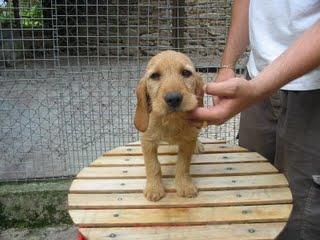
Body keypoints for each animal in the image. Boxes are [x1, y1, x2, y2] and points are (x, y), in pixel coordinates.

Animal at [133, 50, 204, 202]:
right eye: (154, 76)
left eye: (186, 73)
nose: (173, 98)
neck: (171, 119)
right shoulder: (148, 141)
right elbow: (153, 166)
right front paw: (154, 188)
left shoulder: (187, 141)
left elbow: (183, 165)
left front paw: (184, 185)